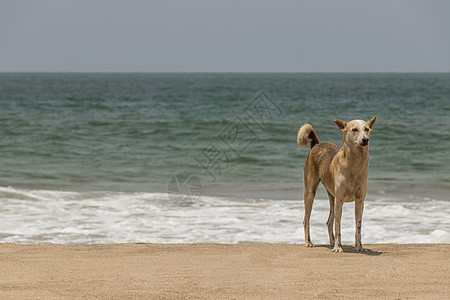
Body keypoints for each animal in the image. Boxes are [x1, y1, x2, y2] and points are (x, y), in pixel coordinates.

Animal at [298, 116, 374, 252]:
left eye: (367, 129)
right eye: (354, 129)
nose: (365, 139)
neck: (355, 166)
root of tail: (317, 145)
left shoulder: (360, 201)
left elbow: (358, 226)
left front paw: (359, 246)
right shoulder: (340, 200)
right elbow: (338, 226)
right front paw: (338, 247)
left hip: (332, 197)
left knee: (329, 222)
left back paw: (332, 242)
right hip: (310, 193)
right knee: (306, 220)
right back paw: (309, 242)